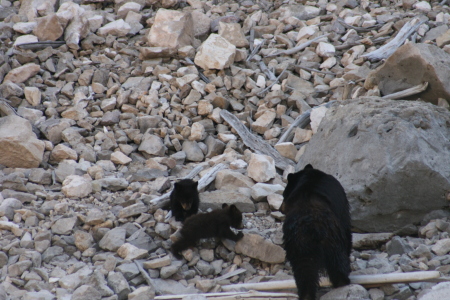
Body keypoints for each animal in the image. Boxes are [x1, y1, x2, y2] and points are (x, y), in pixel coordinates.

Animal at [282, 164, 352, 300]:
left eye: (283, 194)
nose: (280, 208)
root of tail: (311, 225)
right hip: (332, 238)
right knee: (338, 261)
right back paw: (343, 283)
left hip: (299, 246)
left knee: (304, 271)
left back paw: (306, 294)